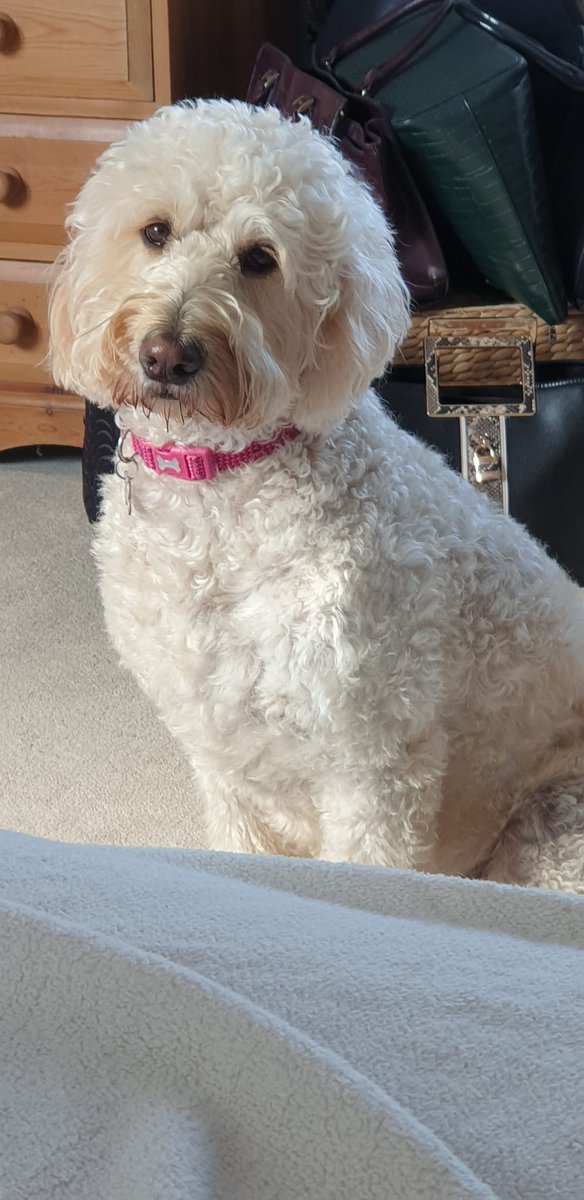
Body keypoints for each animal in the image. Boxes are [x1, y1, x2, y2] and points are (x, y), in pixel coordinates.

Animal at [51, 98, 584, 888]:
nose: (167, 355)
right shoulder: (221, 755)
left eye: (259, 259)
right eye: (155, 231)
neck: (219, 489)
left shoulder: (374, 762)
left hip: (551, 829)